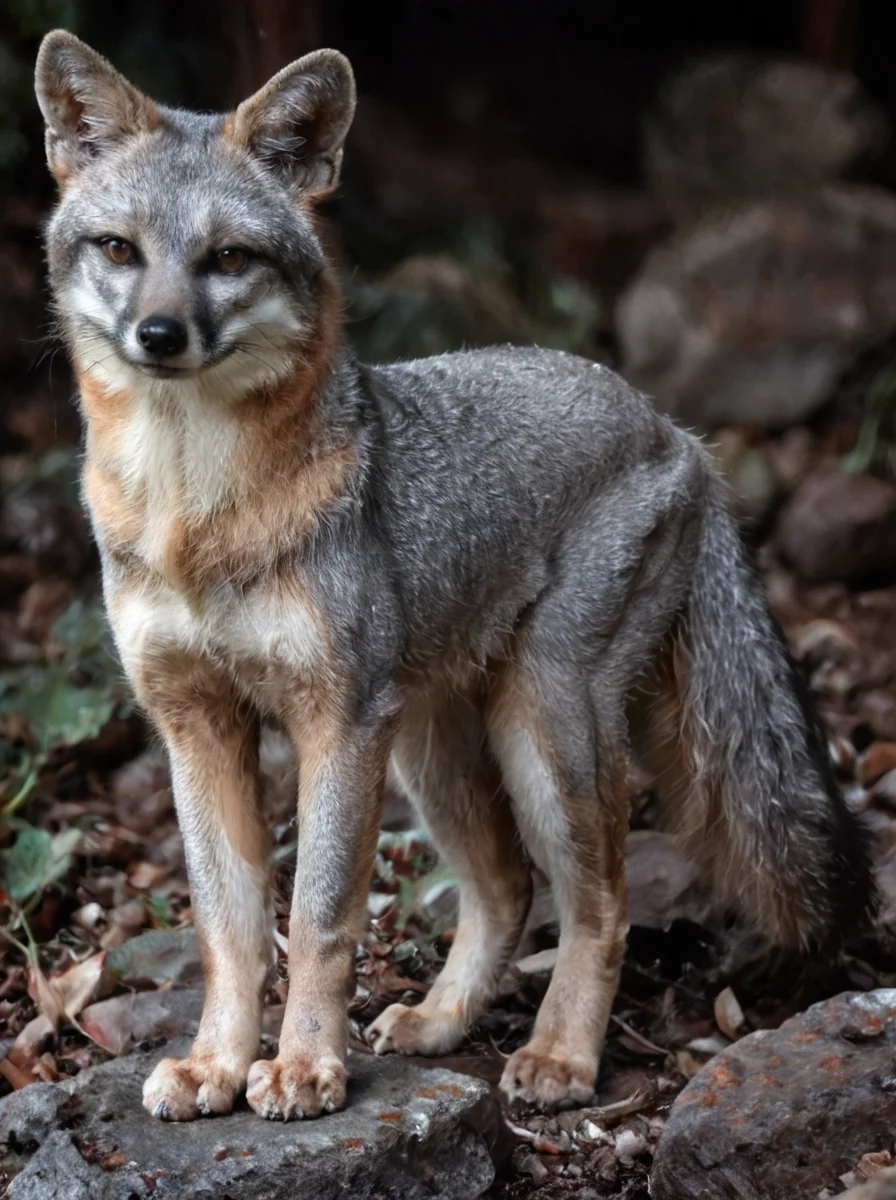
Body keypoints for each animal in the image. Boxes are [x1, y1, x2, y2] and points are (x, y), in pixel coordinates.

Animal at [35, 30, 874, 1123]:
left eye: (227, 259)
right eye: (119, 251)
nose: (161, 335)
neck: (197, 515)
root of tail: (675, 429)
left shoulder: (338, 721)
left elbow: (318, 919)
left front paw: (303, 1067)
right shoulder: (196, 724)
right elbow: (227, 927)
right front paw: (217, 1062)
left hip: (540, 722)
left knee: (600, 901)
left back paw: (560, 1056)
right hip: (429, 749)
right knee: (506, 889)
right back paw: (441, 1021)